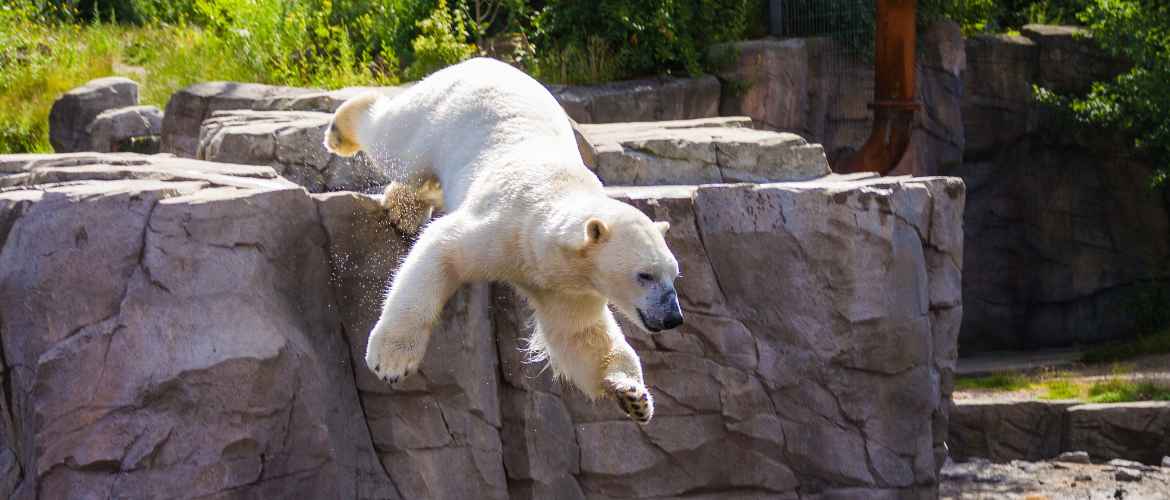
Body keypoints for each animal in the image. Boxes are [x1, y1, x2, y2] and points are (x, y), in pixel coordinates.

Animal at [322, 58, 683, 423]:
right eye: (644, 275)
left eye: (674, 275)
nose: (673, 317)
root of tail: (483, 61)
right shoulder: (504, 225)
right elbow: (440, 250)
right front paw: (391, 362)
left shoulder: (565, 285)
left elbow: (581, 335)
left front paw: (634, 396)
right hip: (443, 115)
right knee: (398, 142)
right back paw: (341, 130)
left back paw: (403, 209)